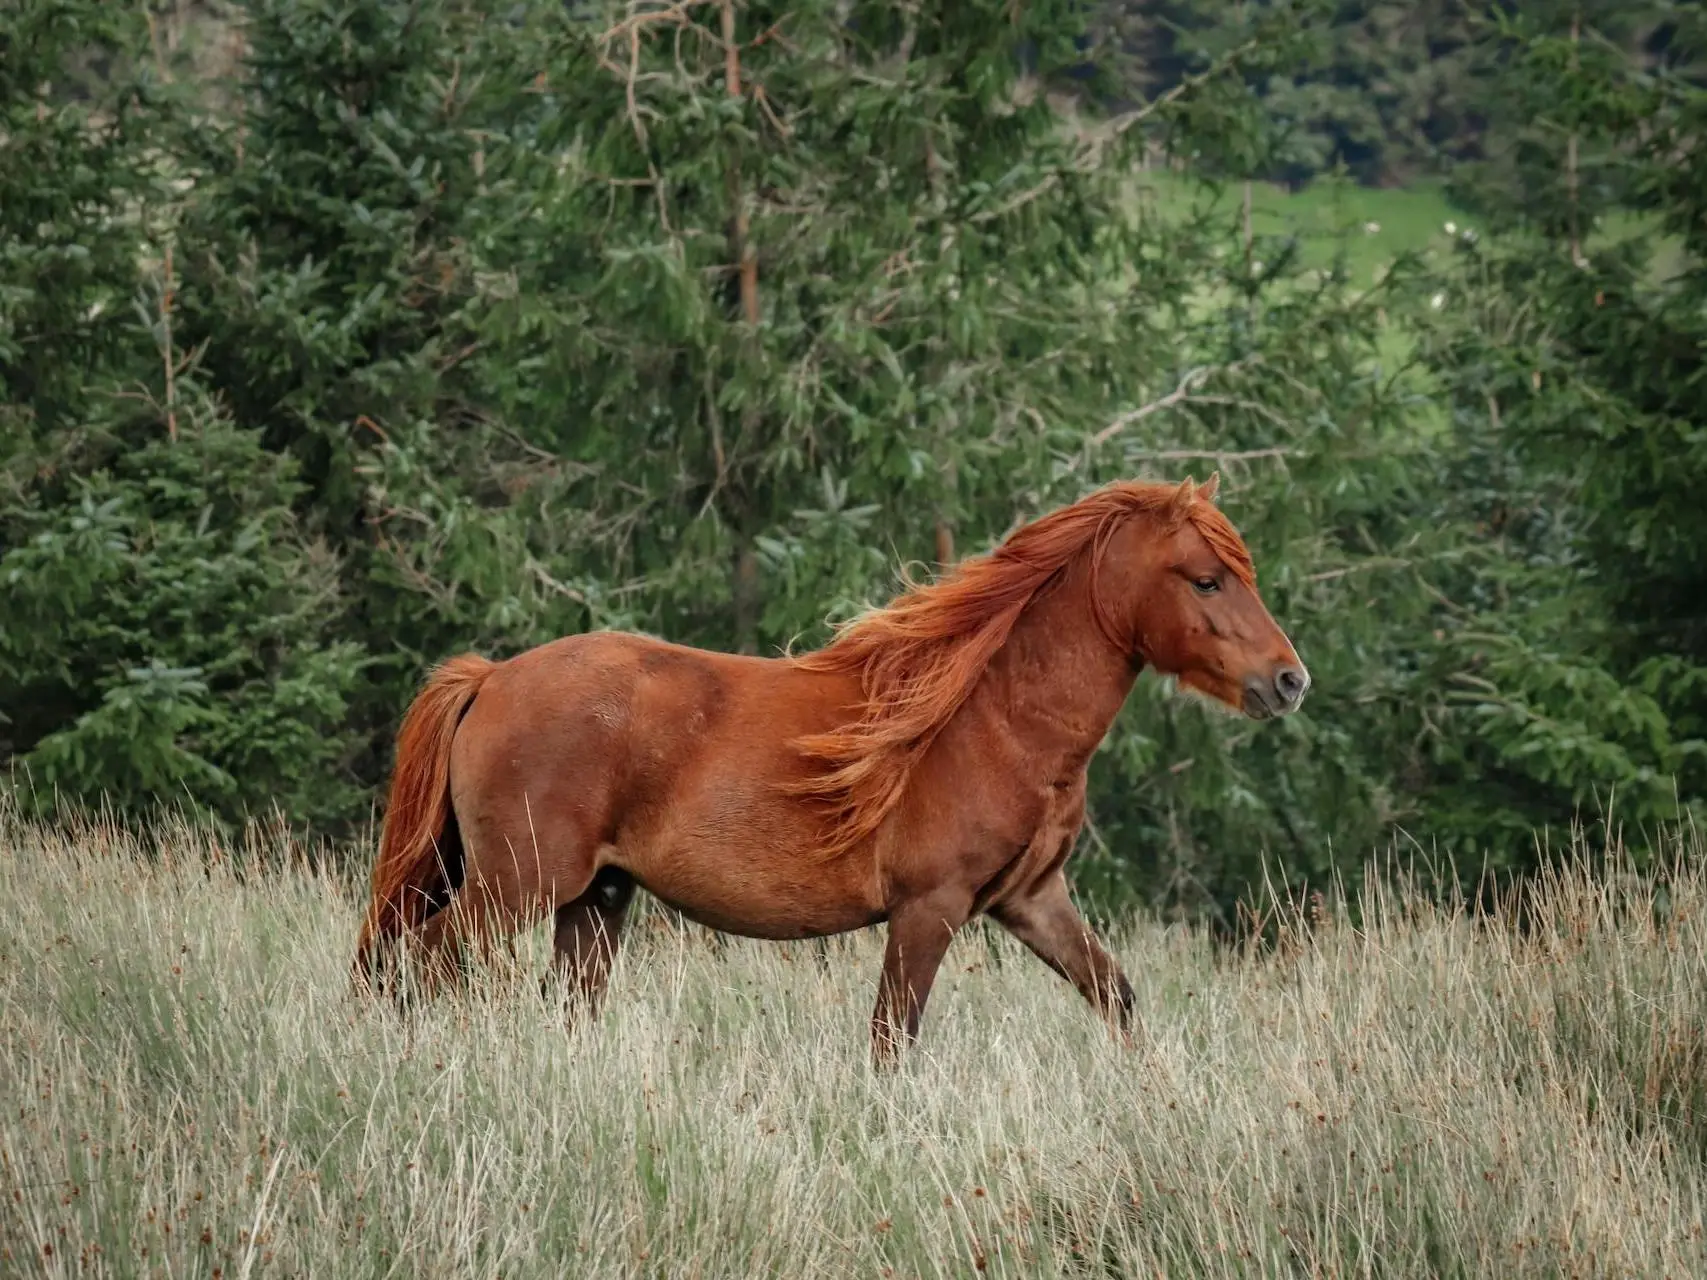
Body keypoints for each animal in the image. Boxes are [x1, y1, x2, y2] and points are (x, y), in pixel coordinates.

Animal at [346, 477, 1304, 1064]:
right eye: (1206, 579)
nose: (1288, 681)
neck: (990, 717)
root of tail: (491, 678)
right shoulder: (927, 910)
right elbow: (890, 1042)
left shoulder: (1032, 901)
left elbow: (1117, 999)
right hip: (516, 887)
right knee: (419, 965)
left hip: (594, 903)